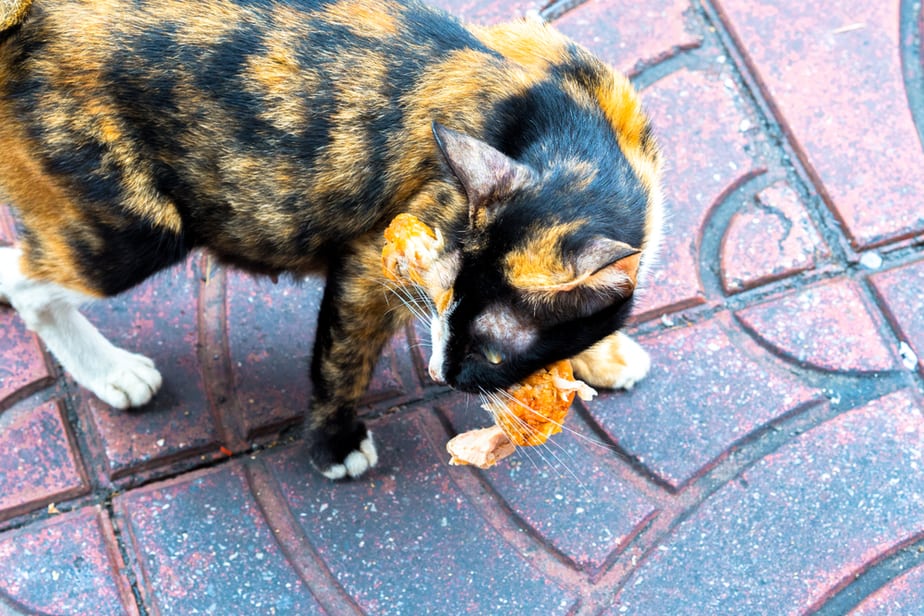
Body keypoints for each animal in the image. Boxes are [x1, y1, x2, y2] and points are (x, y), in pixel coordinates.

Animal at [0, 0, 664, 478]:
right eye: (445, 301)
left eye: (492, 352)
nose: (440, 371)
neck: (573, 134)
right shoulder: (374, 262)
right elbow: (343, 359)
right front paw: (335, 443)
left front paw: (603, 354)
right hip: (135, 230)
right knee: (33, 286)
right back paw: (113, 372)